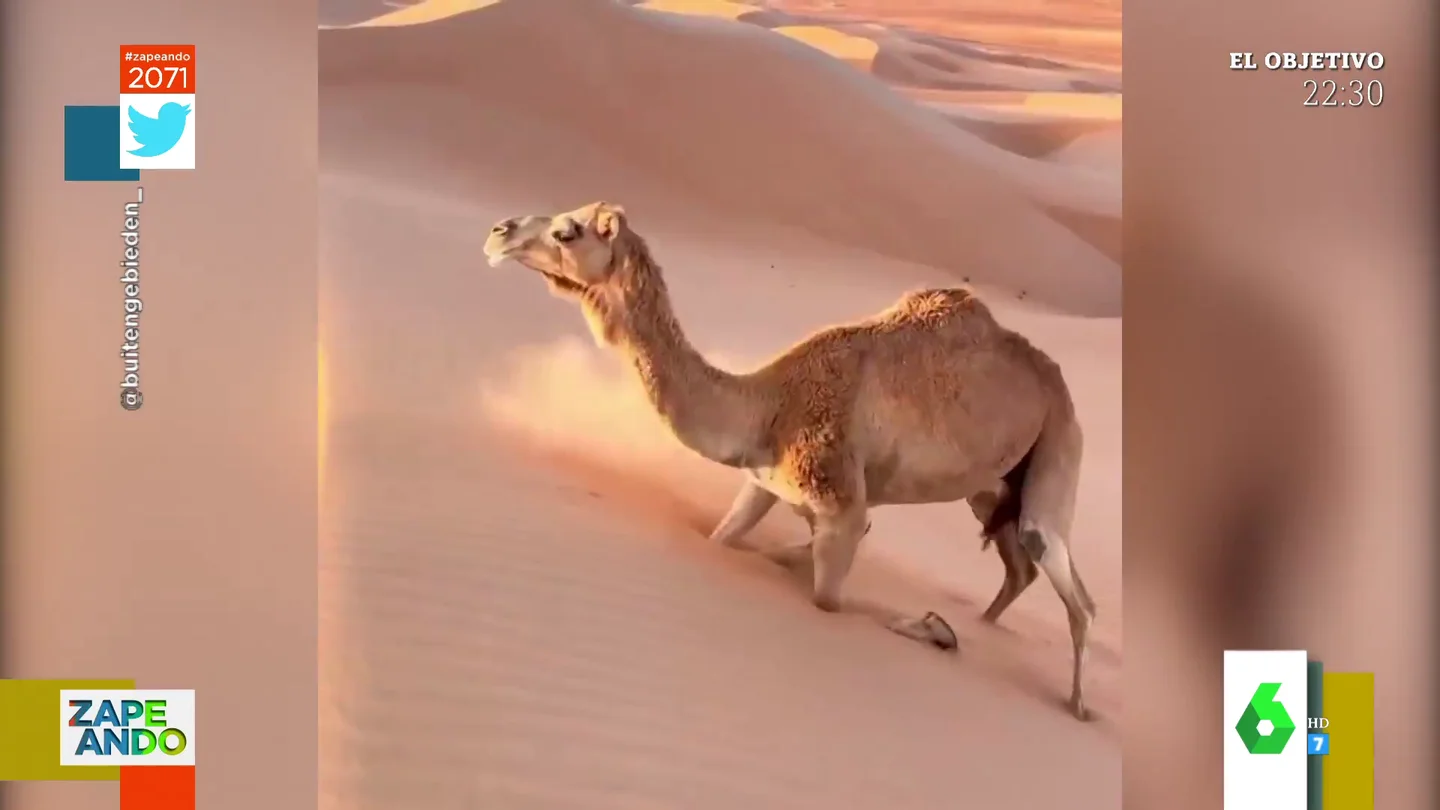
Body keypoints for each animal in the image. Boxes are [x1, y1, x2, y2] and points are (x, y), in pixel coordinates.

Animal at [483, 203, 1099, 720]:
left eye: (568, 231)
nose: (498, 231)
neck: (768, 408)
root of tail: (1058, 381)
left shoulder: (841, 507)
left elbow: (829, 590)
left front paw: (933, 626)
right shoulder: (763, 484)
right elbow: (728, 540)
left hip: (1059, 445)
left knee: (1071, 587)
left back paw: (1077, 706)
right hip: (991, 486)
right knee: (1019, 567)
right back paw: (988, 629)